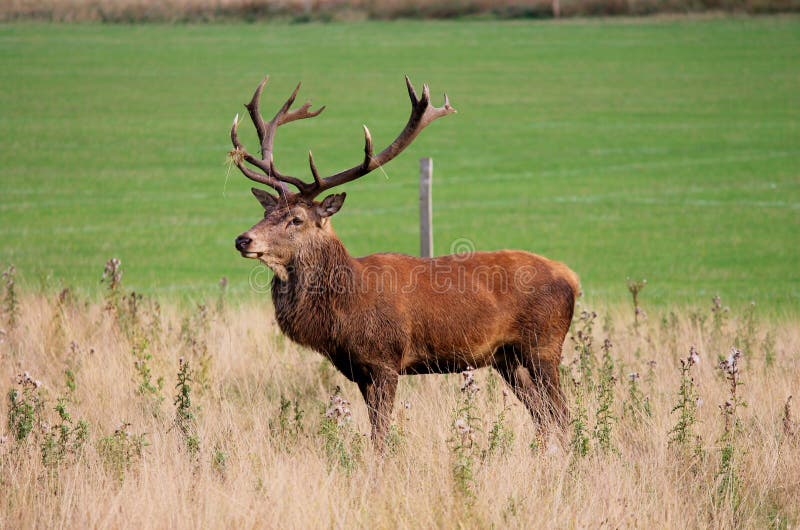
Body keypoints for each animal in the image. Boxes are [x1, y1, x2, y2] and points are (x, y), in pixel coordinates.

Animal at [228, 75, 580, 446]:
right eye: (266, 212)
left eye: (296, 219)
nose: (243, 239)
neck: (344, 310)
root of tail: (571, 277)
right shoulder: (358, 369)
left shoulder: (385, 358)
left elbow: (380, 435)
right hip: (506, 358)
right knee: (542, 415)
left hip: (544, 345)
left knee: (561, 413)